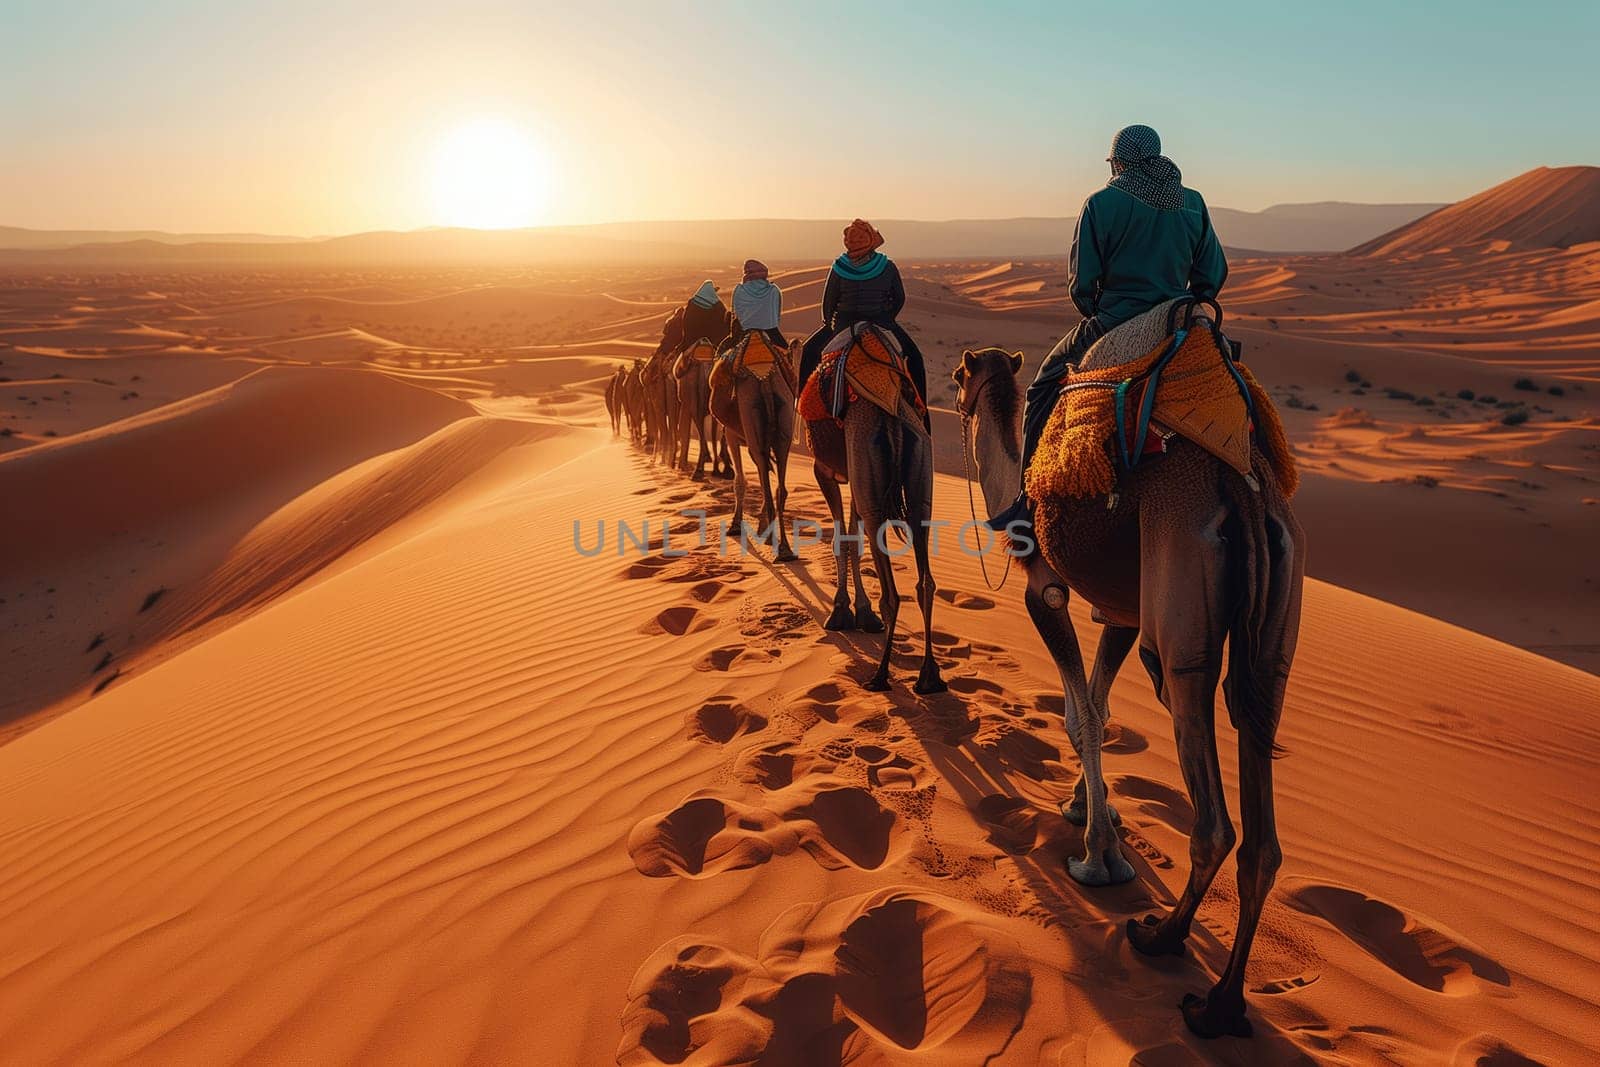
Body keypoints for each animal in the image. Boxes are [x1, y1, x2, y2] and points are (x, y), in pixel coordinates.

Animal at [713, 340, 800, 559]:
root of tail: (766, 382)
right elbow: (763, 478)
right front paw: (761, 525)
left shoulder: (732, 435)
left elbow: (740, 481)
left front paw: (735, 525)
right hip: (783, 426)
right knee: (779, 488)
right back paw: (785, 549)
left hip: (750, 419)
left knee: (768, 487)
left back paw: (776, 544)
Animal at [806, 321, 940, 697]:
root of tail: (891, 416)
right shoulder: (854, 477)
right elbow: (853, 539)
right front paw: (859, 613)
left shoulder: (825, 471)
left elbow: (842, 540)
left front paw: (841, 611)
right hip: (918, 473)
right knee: (925, 581)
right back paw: (929, 676)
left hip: (868, 473)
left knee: (892, 592)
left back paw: (880, 675)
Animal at [947, 343, 1299, 1043]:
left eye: (961, 377)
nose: (945, 396)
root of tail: (1242, 495)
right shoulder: (1122, 611)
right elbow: (1097, 708)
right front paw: (1092, 809)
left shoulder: (1048, 591)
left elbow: (1082, 713)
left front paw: (1099, 857)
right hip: (1275, 628)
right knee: (1262, 828)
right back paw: (1221, 1004)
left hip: (1180, 620)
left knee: (1212, 813)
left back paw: (1162, 941)